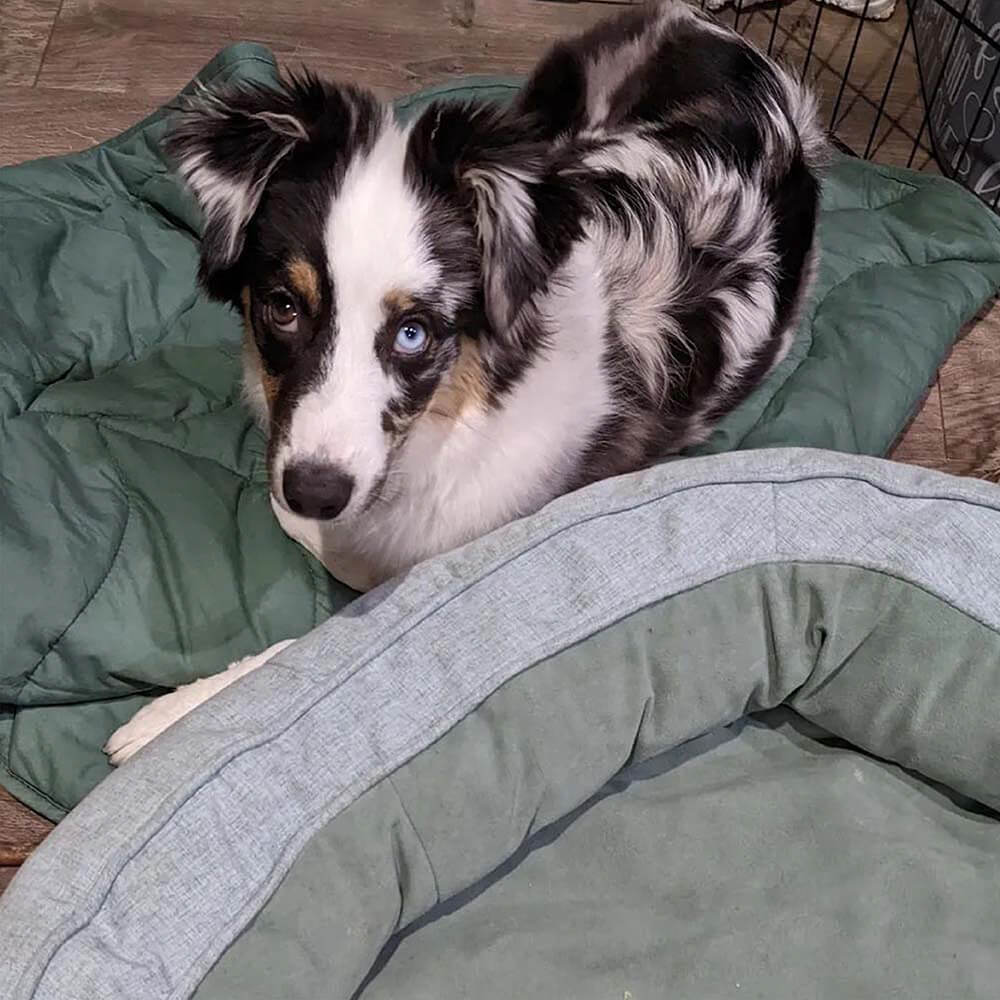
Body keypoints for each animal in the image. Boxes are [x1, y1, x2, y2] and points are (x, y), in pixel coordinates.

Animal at [103, 3, 828, 760]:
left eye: (414, 332)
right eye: (283, 306)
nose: (315, 492)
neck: (457, 408)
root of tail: (725, 32)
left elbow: (318, 639)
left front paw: (168, 722)